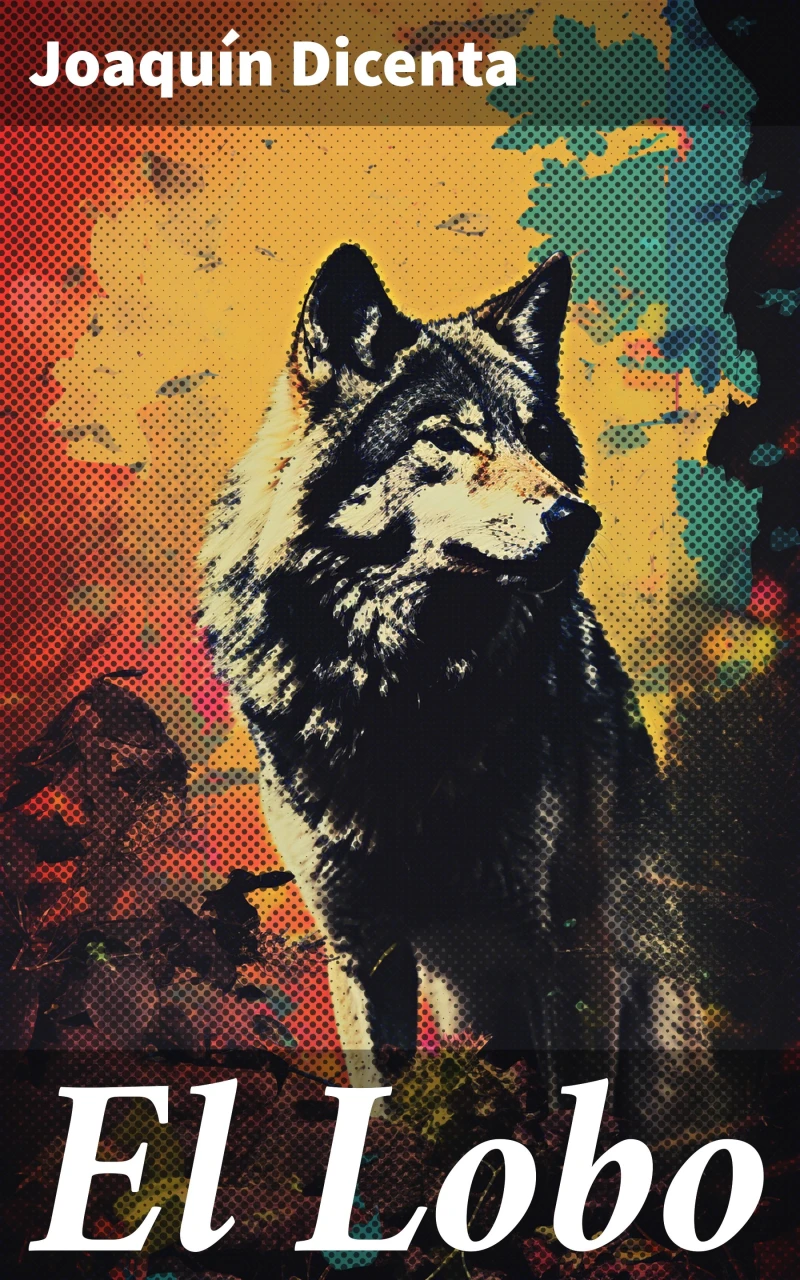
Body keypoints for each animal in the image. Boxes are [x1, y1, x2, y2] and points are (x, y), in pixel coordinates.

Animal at [200, 244, 709, 1123]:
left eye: (537, 439)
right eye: (448, 438)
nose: (578, 518)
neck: (403, 693)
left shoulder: (565, 935)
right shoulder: (362, 945)